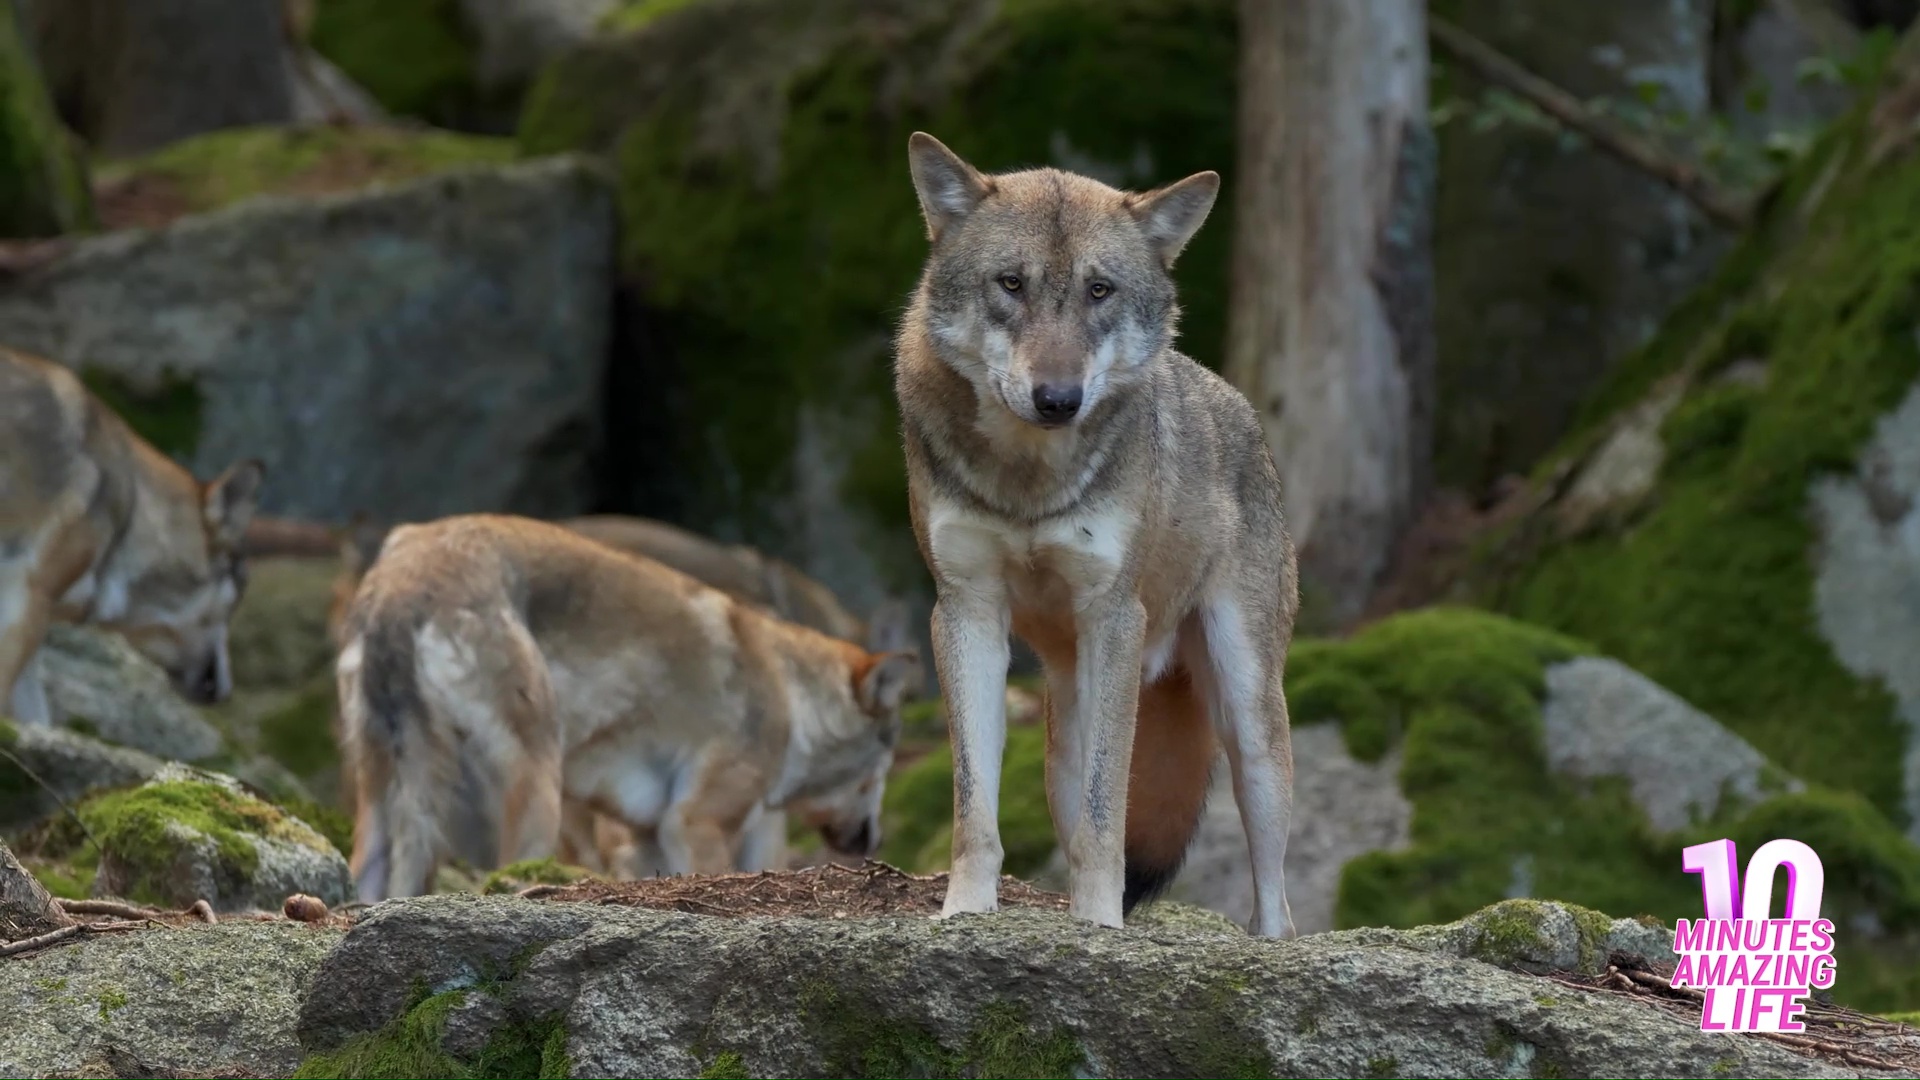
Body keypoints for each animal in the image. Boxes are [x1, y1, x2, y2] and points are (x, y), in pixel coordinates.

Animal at [338, 513, 921, 901]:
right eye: (885, 765)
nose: (877, 839)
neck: (792, 695)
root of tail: (403, 579)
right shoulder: (696, 825)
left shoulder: (649, 838)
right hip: (536, 785)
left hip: (387, 793)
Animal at [893, 133, 1299, 936]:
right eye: (1010, 284)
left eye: (1100, 291)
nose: (1058, 399)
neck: (1029, 483)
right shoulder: (965, 612)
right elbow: (974, 807)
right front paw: (965, 911)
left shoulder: (1115, 615)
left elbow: (1108, 815)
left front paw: (1102, 928)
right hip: (1062, 738)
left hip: (1248, 717)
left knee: (1277, 892)